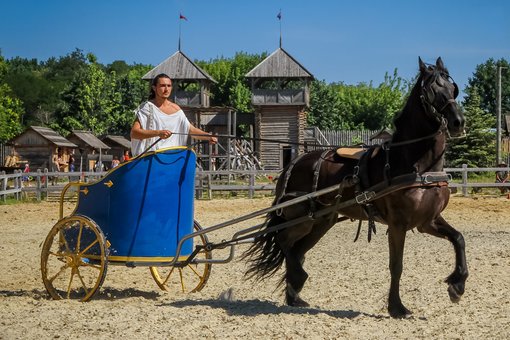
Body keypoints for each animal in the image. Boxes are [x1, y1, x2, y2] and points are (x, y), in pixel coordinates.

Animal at [245, 57, 468, 318]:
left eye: (453, 88)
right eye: (431, 91)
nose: (458, 122)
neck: (415, 164)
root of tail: (294, 163)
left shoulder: (427, 220)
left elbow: (459, 238)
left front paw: (457, 285)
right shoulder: (398, 223)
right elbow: (396, 265)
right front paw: (397, 307)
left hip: (321, 221)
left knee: (297, 250)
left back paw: (294, 295)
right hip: (300, 218)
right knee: (283, 240)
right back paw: (297, 279)